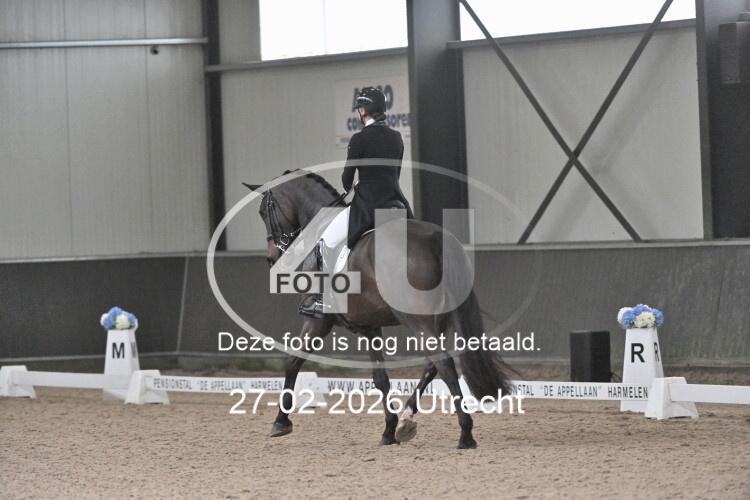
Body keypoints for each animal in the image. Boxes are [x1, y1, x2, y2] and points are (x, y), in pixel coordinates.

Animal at [245, 169, 511, 449]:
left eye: (263, 211)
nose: (272, 257)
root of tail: (436, 239)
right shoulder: (369, 326)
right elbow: (380, 377)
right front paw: (389, 430)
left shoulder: (318, 321)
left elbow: (293, 362)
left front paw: (280, 422)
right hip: (437, 320)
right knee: (432, 366)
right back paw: (406, 422)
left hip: (417, 320)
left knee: (444, 364)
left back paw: (465, 434)